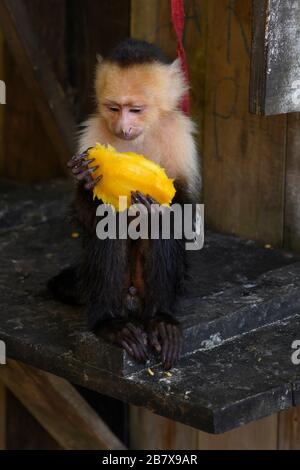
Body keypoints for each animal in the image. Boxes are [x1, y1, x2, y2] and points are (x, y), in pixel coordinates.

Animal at [48, 38, 200, 370]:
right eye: (114, 108)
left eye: (136, 110)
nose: (122, 127)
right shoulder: (92, 131)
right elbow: (88, 218)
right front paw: (87, 180)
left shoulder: (179, 133)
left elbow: (186, 215)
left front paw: (157, 209)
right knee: (109, 224)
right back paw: (110, 323)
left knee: (160, 233)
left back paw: (160, 319)